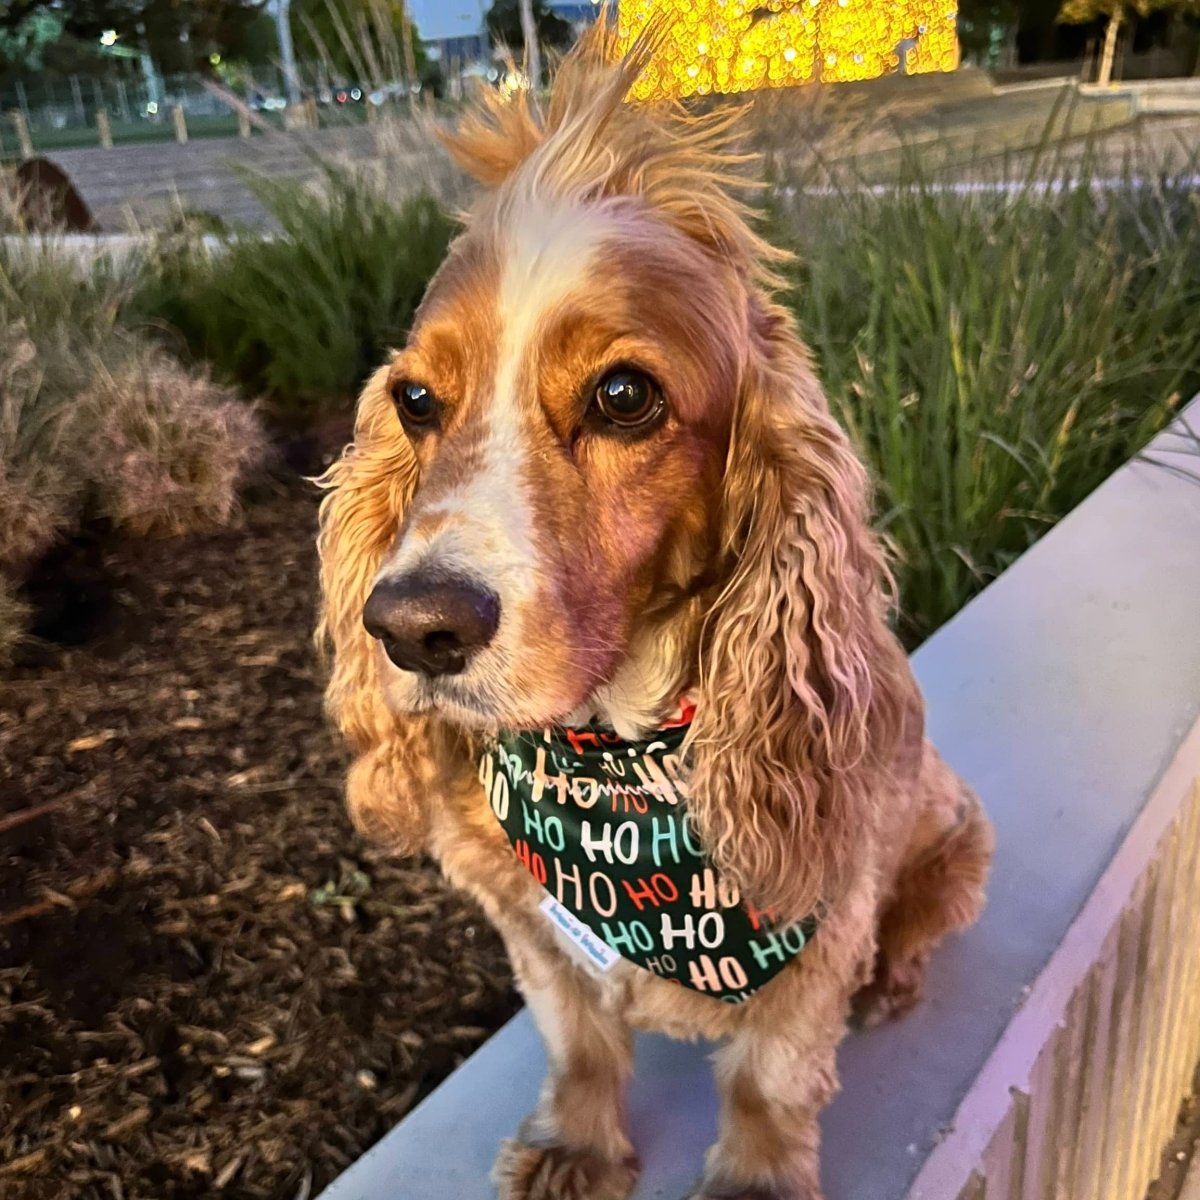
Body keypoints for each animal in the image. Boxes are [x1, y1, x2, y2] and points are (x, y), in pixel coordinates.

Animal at [316, 21, 993, 1200]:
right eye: (415, 400)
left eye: (624, 396)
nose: (409, 627)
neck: (613, 762)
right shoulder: (531, 927)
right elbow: (579, 1042)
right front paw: (577, 1149)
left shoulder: (819, 931)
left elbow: (768, 1080)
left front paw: (756, 1180)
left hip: (957, 844)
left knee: (915, 927)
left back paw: (895, 981)